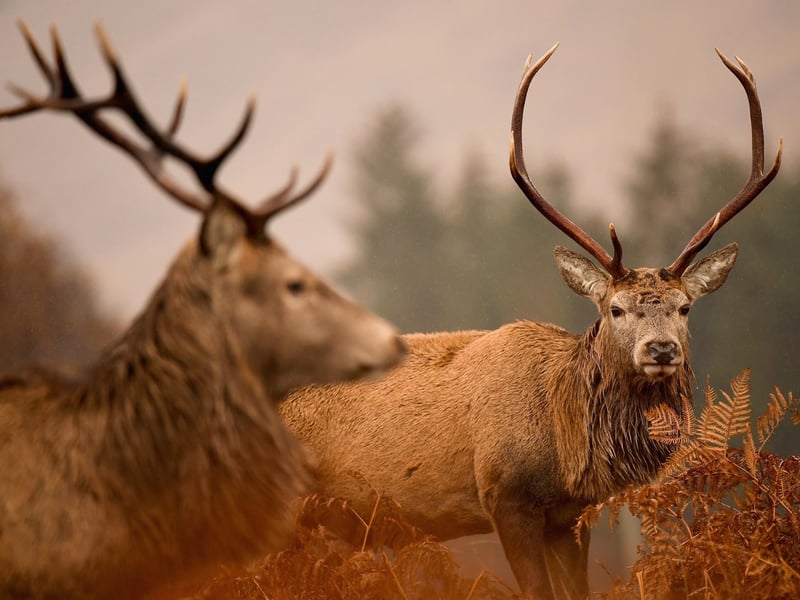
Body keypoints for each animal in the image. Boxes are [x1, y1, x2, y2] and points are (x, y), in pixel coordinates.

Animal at [280, 44, 782, 599]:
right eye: (615, 309)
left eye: (684, 306)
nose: (661, 349)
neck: (565, 448)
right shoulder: (505, 497)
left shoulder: (569, 517)